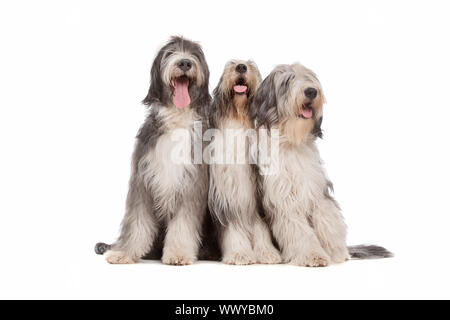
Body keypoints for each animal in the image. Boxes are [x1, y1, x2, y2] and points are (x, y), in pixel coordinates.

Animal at [95, 36, 211, 264]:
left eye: (195, 54)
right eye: (170, 53)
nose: (185, 62)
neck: (176, 120)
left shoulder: (191, 184)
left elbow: (183, 224)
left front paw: (178, 253)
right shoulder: (142, 180)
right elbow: (136, 221)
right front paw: (124, 252)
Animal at [207, 60, 282, 264]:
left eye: (251, 65)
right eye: (231, 64)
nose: (241, 66)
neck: (238, 119)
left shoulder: (258, 197)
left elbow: (260, 227)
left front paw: (267, 253)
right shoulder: (226, 194)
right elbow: (233, 229)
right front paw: (239, 253)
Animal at [250, 63, 390, 266]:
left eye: (309, 77)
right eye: (287, 81)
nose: (311, 91)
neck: (291, 142)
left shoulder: (316, 190)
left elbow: (327, 221)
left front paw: (335, 253)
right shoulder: (283, 198)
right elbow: (299, 229)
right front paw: (312, 255)